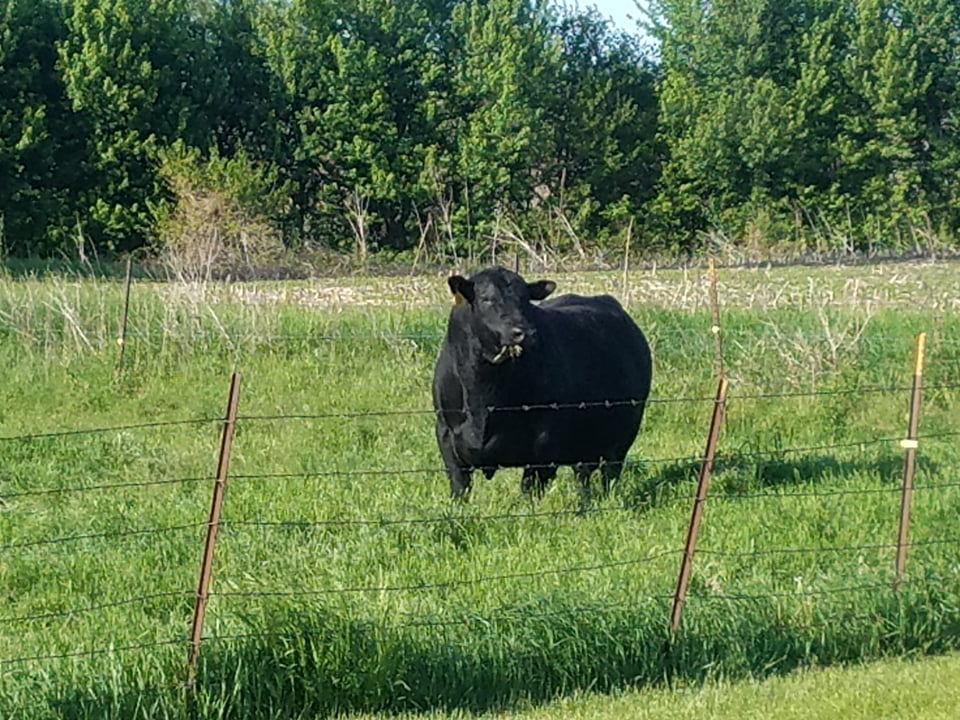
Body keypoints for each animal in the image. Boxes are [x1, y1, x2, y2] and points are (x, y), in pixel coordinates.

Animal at [432, 265, 652, 499]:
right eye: (487, 299)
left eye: (526, 299)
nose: (525, 332)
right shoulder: (445, 434)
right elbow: (459, 486)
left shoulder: (546, 443)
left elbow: (531, 489)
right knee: (583, 473)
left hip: (625, 431)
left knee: (609, 473)